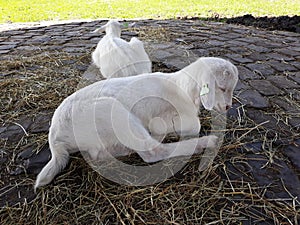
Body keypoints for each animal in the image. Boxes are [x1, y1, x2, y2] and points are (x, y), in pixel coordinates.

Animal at [34, 56, 238, 190]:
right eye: (222, 88)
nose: (228, 107)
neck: (183, 88)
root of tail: (55, 137)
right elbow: (192, 125)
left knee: (101, 154)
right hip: (114, 112)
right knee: (153, 153)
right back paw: (206, 142)